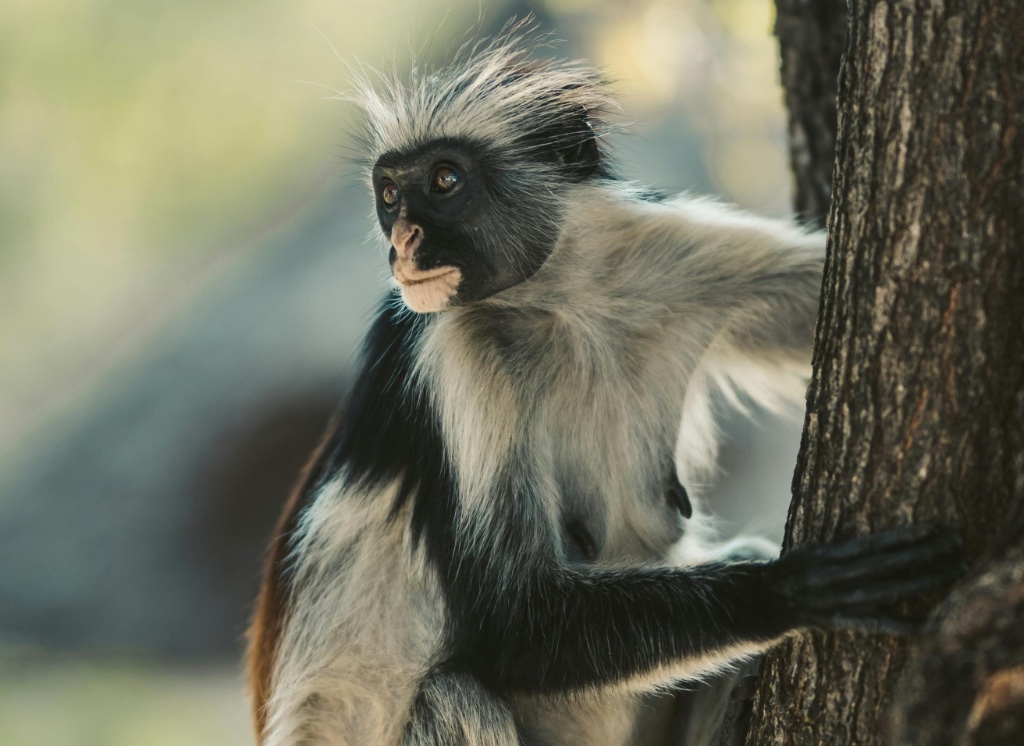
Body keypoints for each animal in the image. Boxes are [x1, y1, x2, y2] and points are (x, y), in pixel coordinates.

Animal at [247, 27, 964, 746]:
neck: (564, 302)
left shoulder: (664, 249)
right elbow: (514, 626)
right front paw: (788, 590)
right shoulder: (444, 350)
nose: (401, 242)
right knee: (453, 694)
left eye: (445, 180)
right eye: (389, 196)